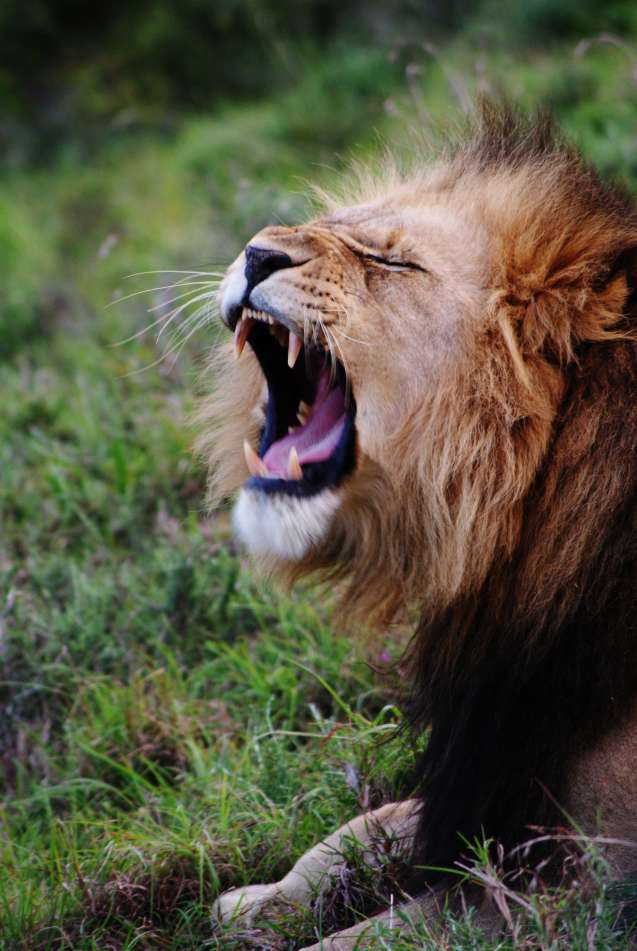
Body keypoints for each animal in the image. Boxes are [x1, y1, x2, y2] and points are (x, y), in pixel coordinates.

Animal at [197, 107, 637, 948]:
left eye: (389, 260)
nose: (254, 252)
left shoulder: (581, 885)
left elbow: (375, 933)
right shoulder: (487, 770)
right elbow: (360, 827)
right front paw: (253, 902)